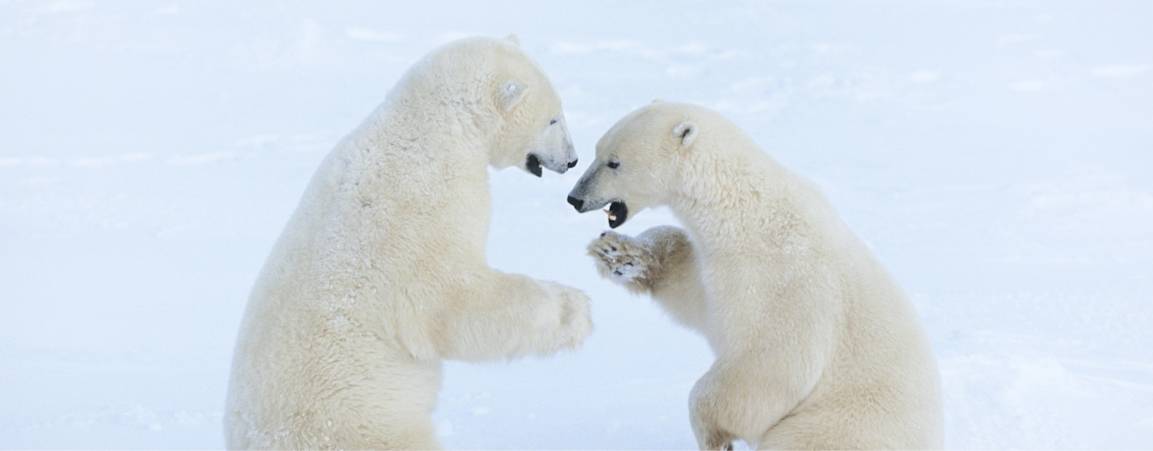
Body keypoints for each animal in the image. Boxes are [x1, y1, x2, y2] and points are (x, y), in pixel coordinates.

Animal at [224, 36, 591, 450]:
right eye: (553, 118)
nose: (573, 160)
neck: (432, 125)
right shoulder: (424, 208)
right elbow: (452, 298)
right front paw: (576, 309)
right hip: (366, 424)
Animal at [566, 101, 942, 450]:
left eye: (614, 162)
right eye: (596, 151)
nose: (574, 198)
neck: (745, 209)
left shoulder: (781, 279)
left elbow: (772, 365)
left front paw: (713, 434)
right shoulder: (720, 266)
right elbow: (695, 296)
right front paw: (617, 253)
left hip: (839, 426)